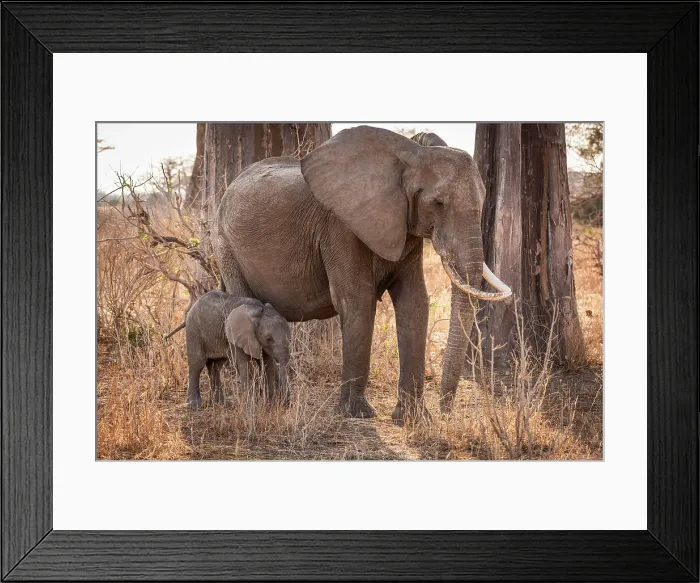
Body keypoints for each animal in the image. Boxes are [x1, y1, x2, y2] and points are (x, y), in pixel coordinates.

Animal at [211, 125, 511, 423]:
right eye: (438, 203)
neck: (410, 153)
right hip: (226, 245)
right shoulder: (340, 228)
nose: (445, 412)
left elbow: (414, 302)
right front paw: (358, 414)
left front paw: (413, 419)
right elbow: (357, 301)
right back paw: (257, 399)